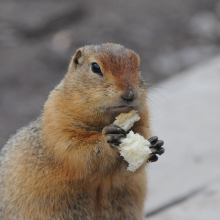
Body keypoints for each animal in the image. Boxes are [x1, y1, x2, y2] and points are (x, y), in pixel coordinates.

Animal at [0, 43, 163, 220]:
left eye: (138, 67)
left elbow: (124, 171)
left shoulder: (143, 123)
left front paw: (155, 145)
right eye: (95, 67)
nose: (130, 94)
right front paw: (109, 138)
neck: (106, 121)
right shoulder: (57, 124)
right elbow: (77, 152)